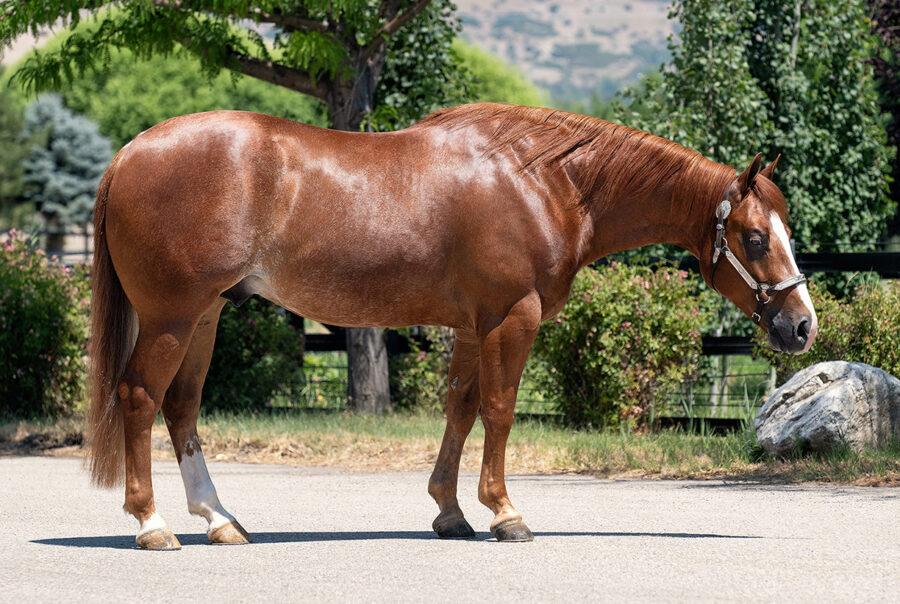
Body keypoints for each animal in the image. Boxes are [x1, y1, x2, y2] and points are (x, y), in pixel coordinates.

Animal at [88, 103, 817, 549]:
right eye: (754, 238)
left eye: (786, 231)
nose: (802, 326)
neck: (543, 182)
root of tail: (129, 154)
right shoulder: (512, 317)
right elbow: (498, 410)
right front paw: (506, 512)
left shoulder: (472, 327)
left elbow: (461, 410)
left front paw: (451, 511)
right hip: (173, 317)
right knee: (139, 399)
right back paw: (152, 524)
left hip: (205, 315)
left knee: (182, 409)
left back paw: (220, 520)